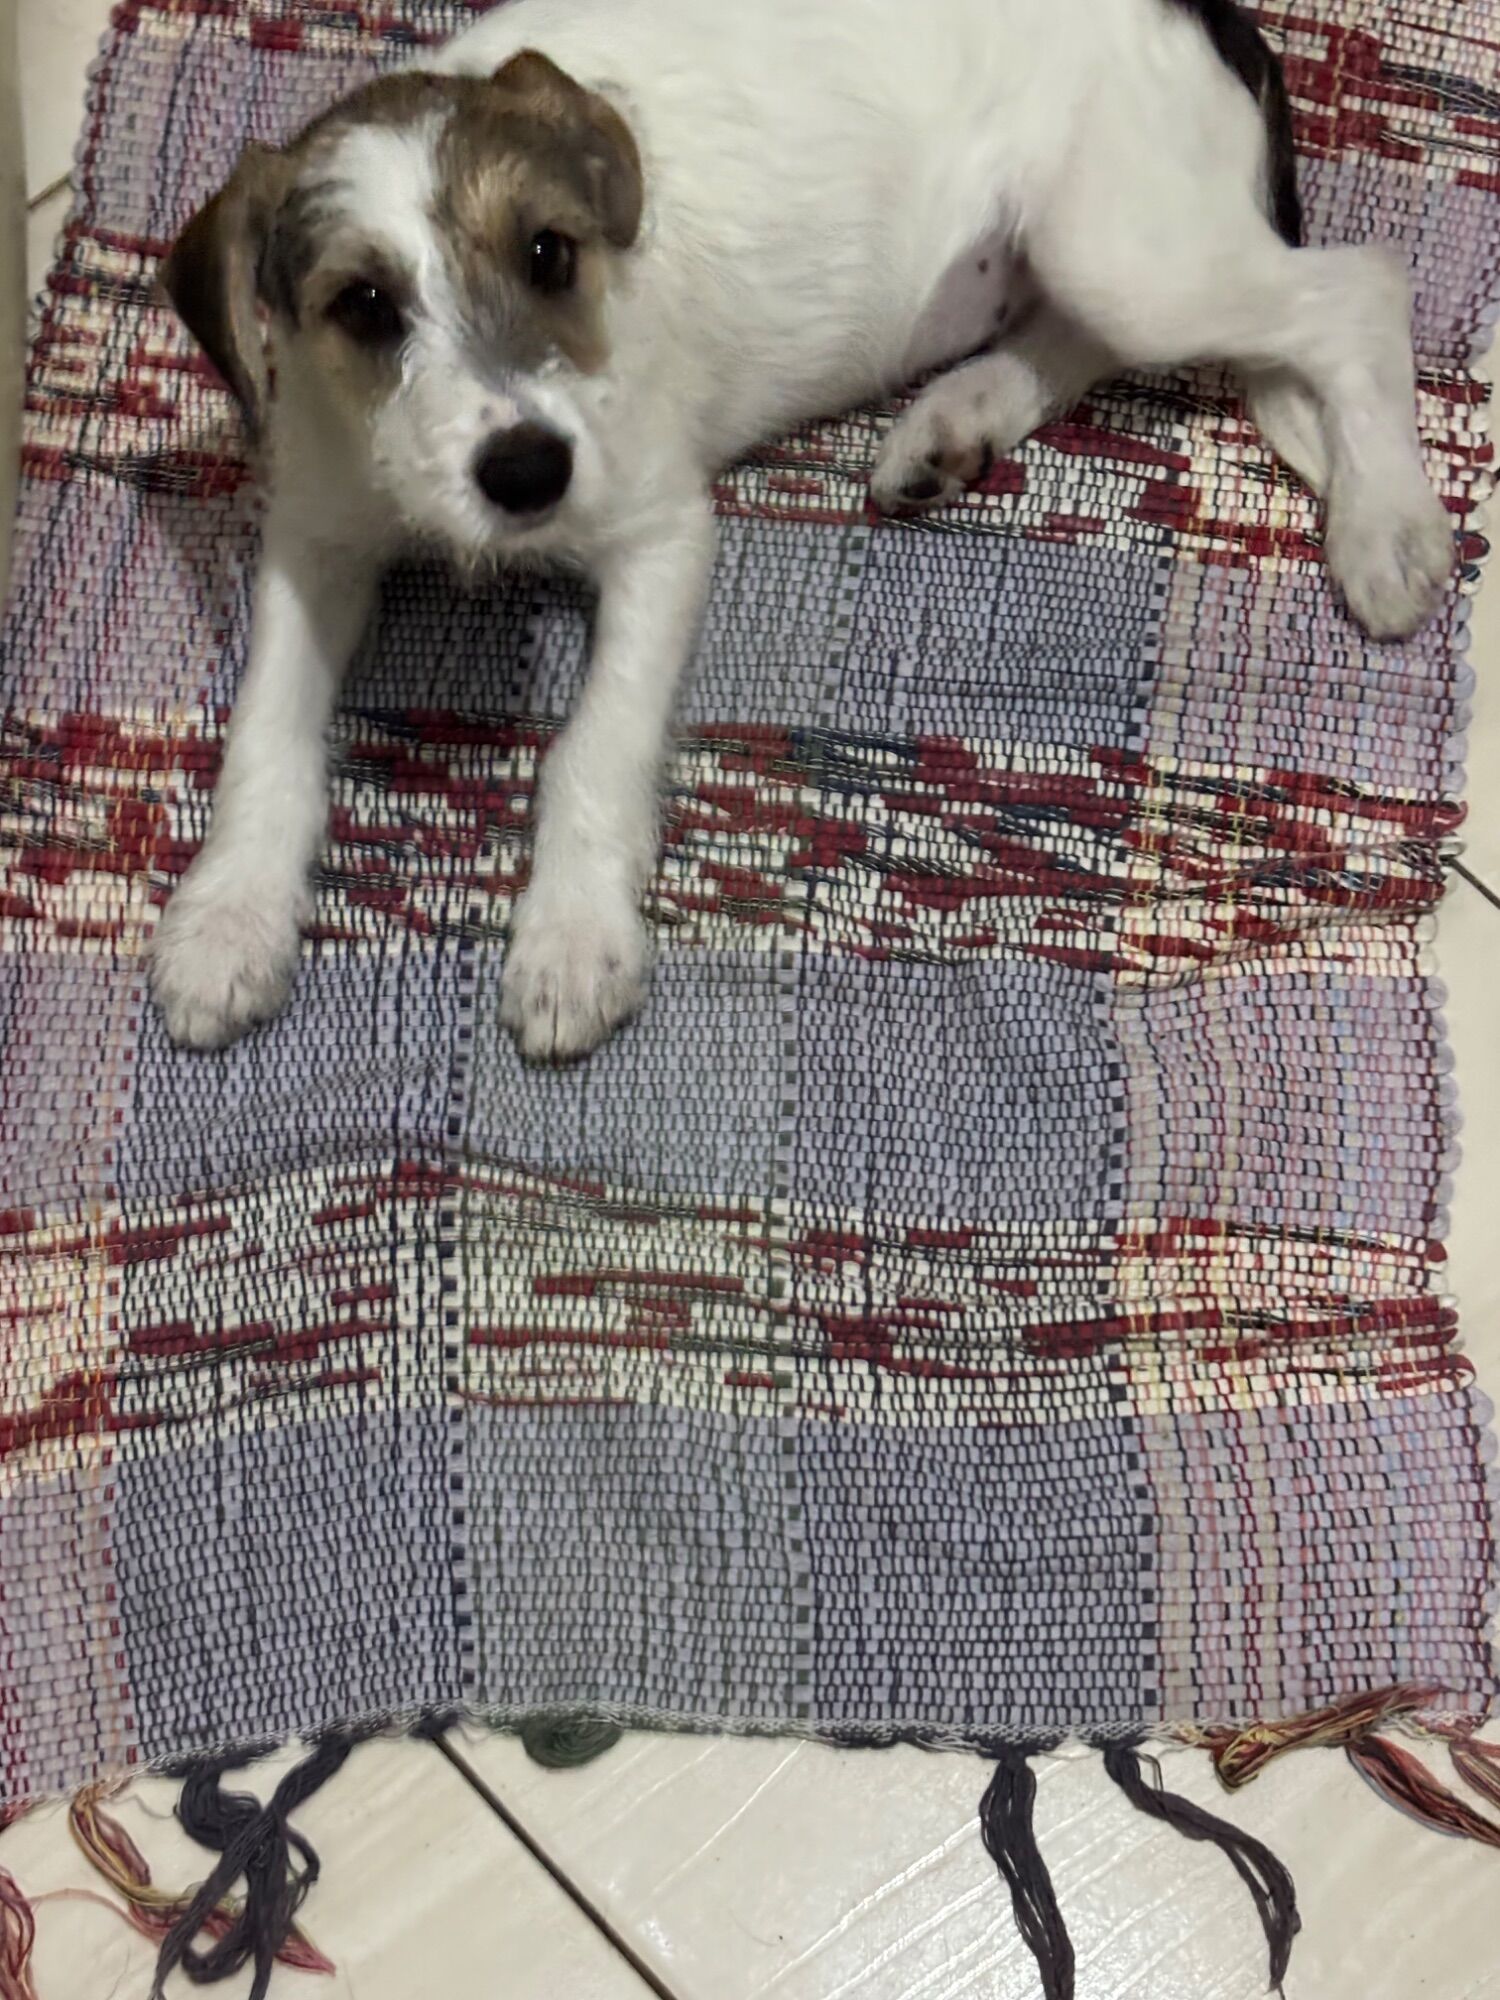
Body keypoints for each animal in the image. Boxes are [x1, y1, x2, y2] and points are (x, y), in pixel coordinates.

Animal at [149, 0, 1454, 1060]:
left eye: (549, 252)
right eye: (364, 306)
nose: (527, 471)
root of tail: (1213, 9)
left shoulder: (661, 533)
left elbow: (594, 746)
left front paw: (572, 934)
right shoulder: (314, 539)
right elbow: (266, 730)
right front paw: (227, 915)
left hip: (1129, 248)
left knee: (1358, 293)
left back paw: (1387, 527)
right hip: (1087, 258)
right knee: (1088, 338)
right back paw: (956, 422)